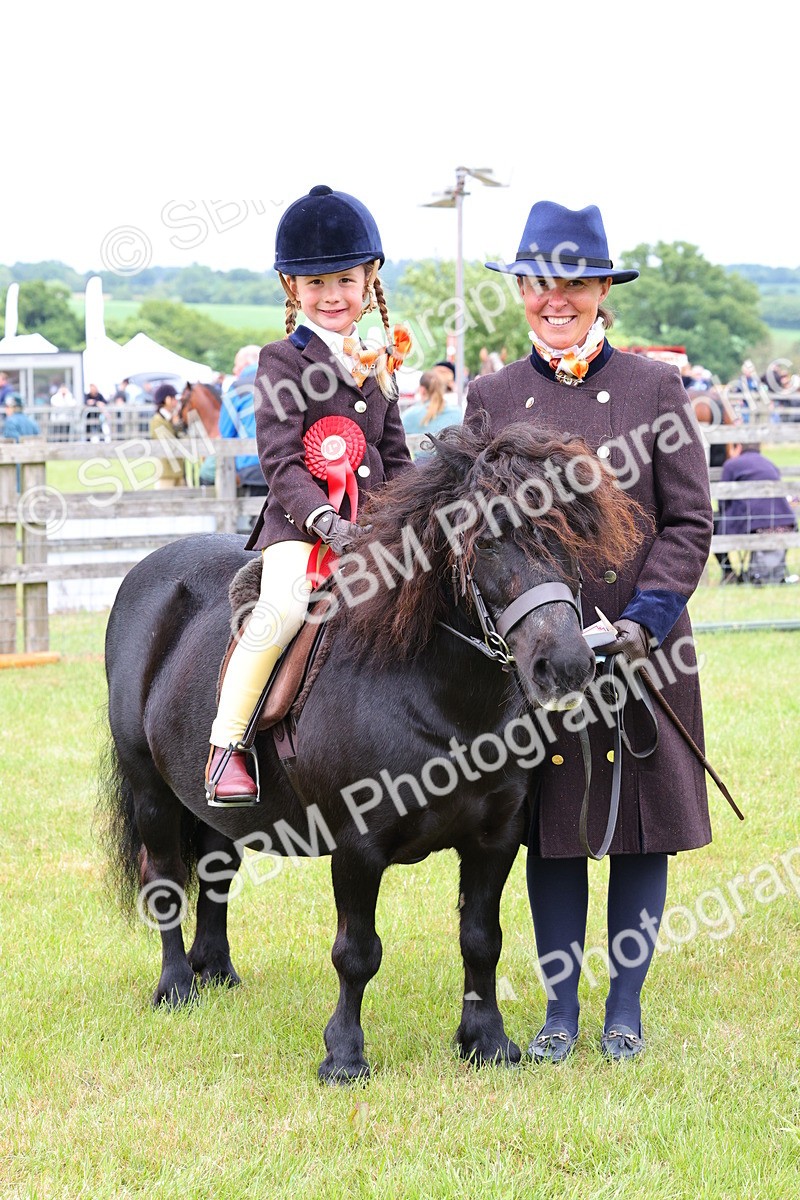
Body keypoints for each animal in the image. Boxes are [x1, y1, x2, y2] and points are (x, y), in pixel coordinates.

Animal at [99, 421, 640, 1082]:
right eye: (486, 543)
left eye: (569, 537)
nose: (564, 665)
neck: (441, 698)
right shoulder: (357, 845)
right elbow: (356, 952)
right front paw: (344, 1054)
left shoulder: (496, 837)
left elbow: (481, 939)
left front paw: (487, 1042)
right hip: (150, 790)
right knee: (167, 879)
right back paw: (177, 986)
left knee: (216, 869)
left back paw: (217, 970)